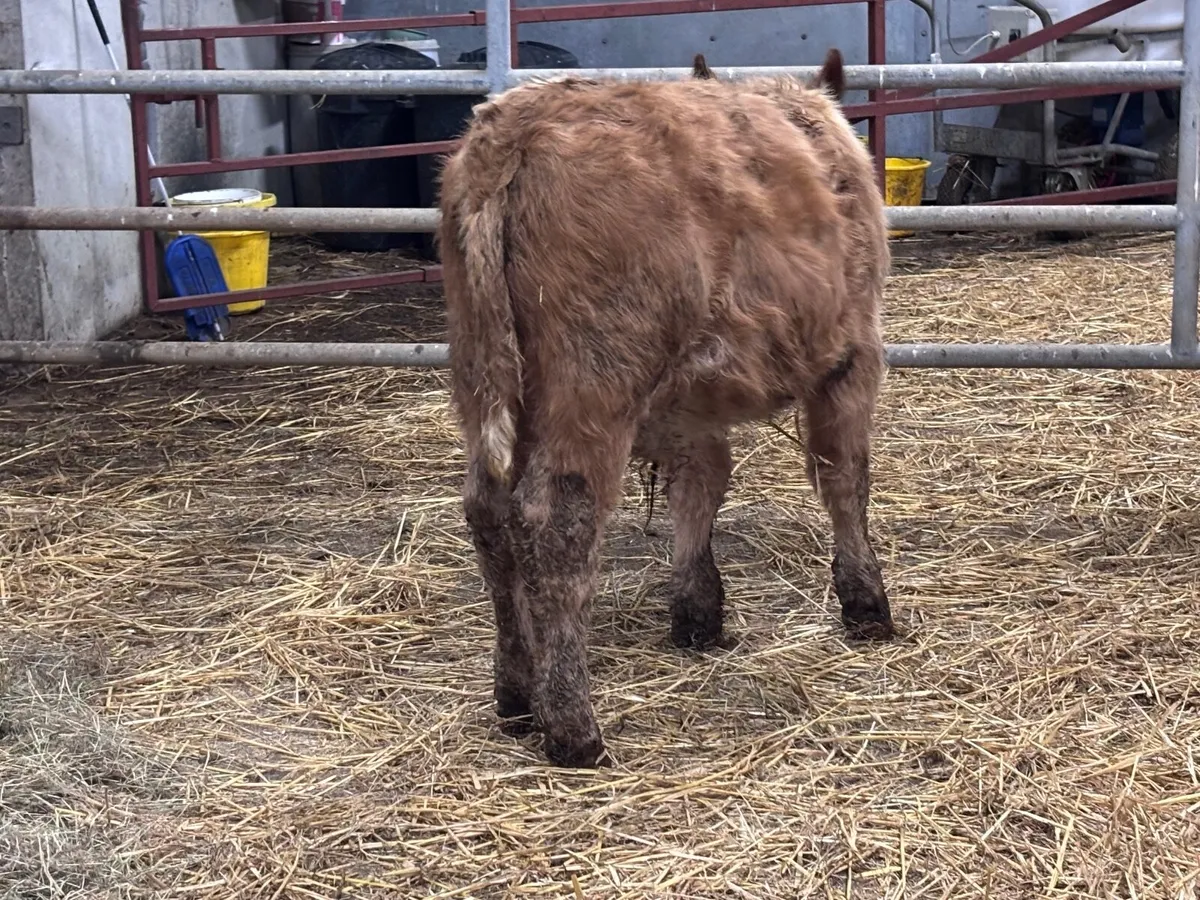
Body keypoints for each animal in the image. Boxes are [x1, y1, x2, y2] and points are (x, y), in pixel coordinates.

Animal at [437, 48, 894, 768]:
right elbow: (844, 477)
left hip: (482, 372)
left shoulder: (686, 408)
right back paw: (572, 726)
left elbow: (700, 486)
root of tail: (513, 131)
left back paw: (515, 692)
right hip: (592, 381)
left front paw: (697, 609)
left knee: (488, 514)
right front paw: (866, 602)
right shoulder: (853, 356)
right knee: (555, 520)